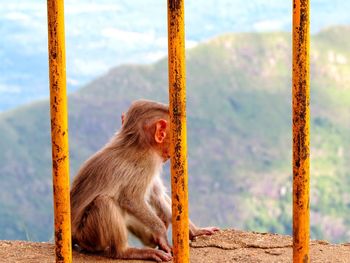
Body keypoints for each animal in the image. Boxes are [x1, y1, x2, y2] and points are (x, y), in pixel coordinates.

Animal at [70, 100, 219, 262]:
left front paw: (194, 230)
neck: (138, 143)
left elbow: (158, 196)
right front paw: (162, 234)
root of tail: (73, 235)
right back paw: (126, 251)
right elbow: (131, 199)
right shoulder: (149, 162)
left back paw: (151, 239)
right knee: (104, 202)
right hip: (87, 235)